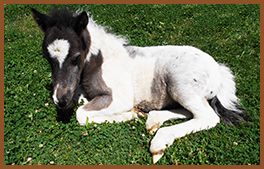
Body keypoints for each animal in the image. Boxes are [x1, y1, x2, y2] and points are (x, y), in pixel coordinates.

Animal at [32, 8, 246, 164]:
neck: (99, 64)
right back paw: (152, 119)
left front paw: (129, 115)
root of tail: (218, 70)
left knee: (208, 117)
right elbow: (81, 100)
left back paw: (159, 141)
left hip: (179, 84)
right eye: (46, 57)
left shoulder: (120, 98)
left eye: (76, 57)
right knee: (190, 111)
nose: (60, 100)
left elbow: (81, 114)